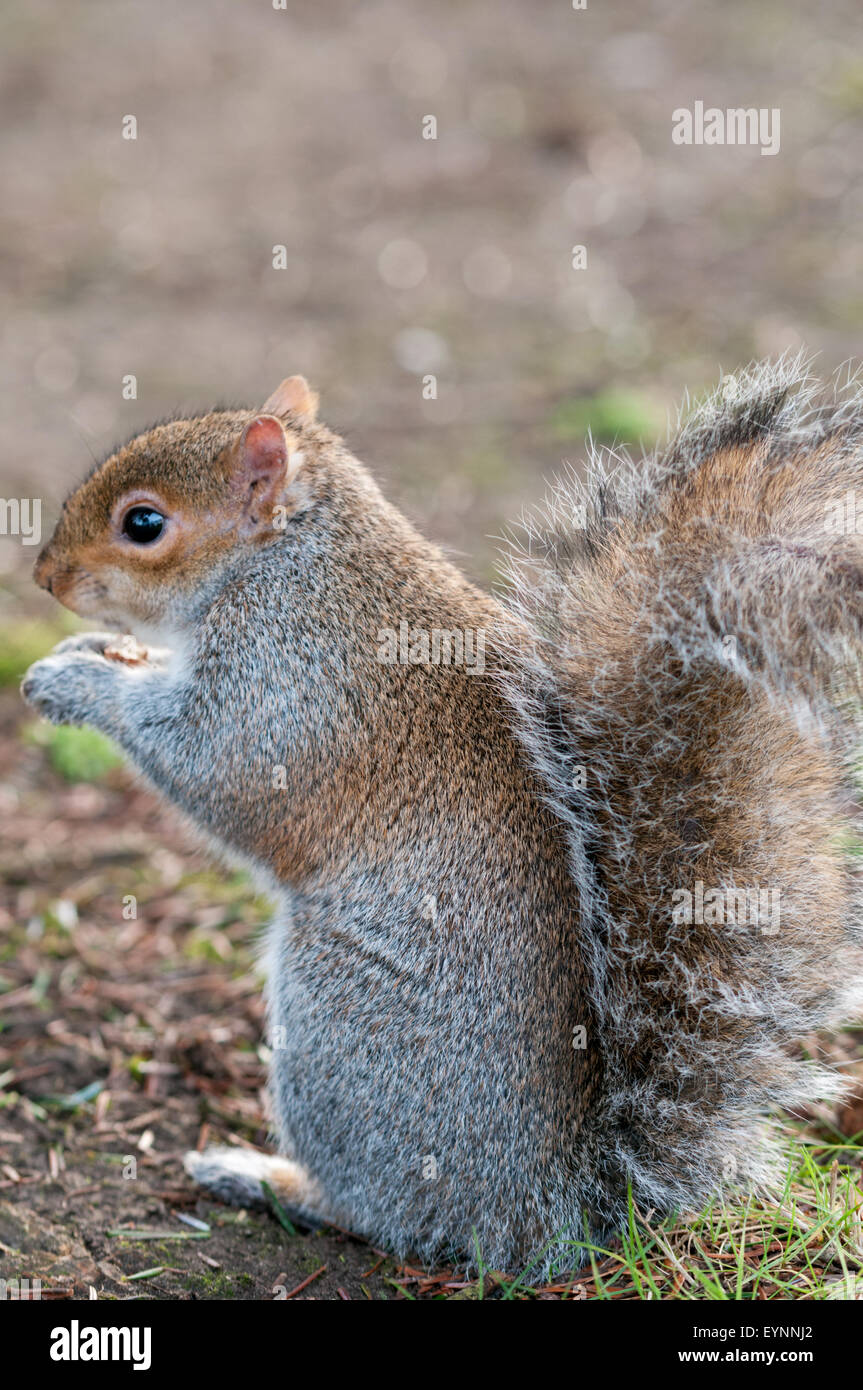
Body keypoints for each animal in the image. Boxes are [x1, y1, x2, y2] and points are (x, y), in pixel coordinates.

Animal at [18, 364, 861, 1273]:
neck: (287, 561)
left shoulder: (287, 686)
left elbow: (215, 767)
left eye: (143, 524)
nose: (44, 577)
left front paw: (76, 684)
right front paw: (92, 655)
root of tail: (549, 1208)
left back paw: (265, 1177)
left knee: (386, 1213)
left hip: (336, 1034)